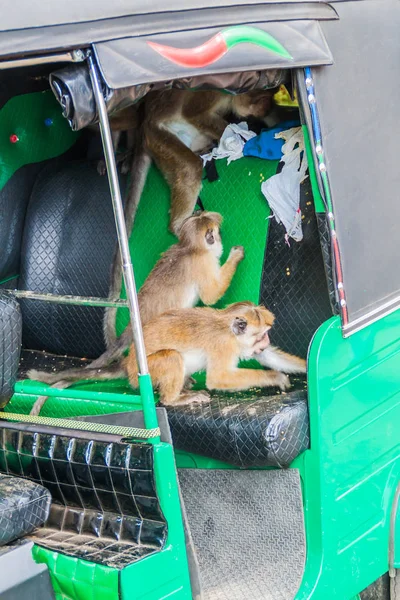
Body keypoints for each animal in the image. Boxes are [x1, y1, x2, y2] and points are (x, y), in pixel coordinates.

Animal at [28, 302, 306, 410]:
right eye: (262, 336)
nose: (265, 342)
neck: (229, 329)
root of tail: (128, 364)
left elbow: (269, 358)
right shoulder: (224, 345)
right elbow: (218, 378)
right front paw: (274, 377)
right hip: (145, 372)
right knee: (172, 357)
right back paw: (173, 399)